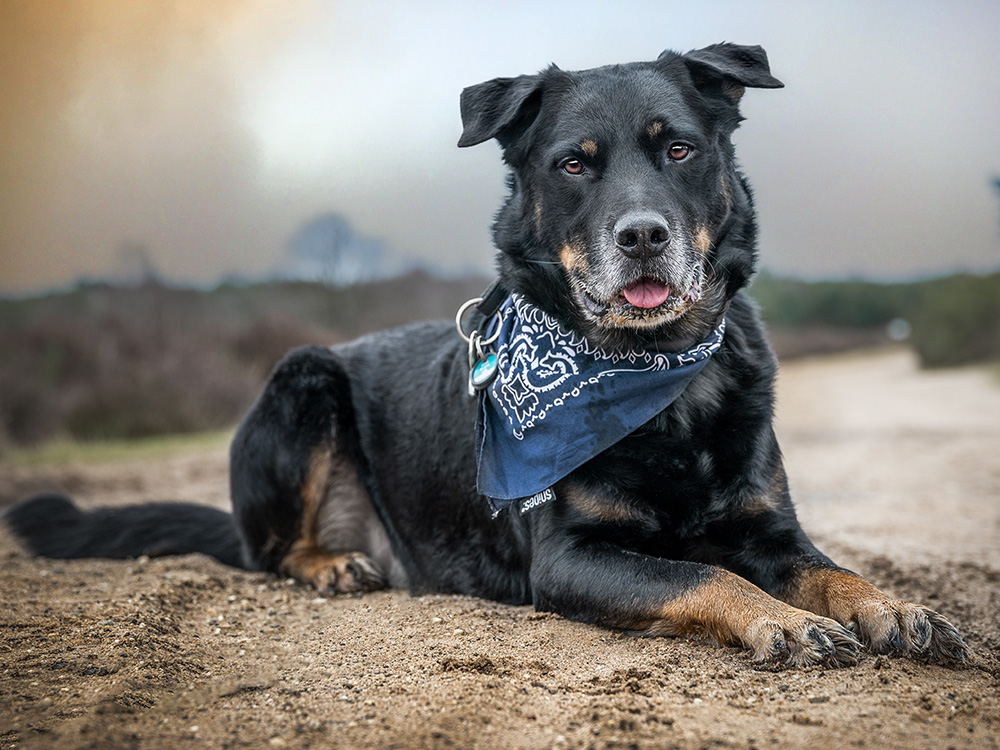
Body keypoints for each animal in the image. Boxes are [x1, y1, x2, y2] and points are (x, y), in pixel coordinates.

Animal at [7, 44, 968, 668]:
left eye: (680, 149)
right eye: (574, 165)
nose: (642, 236)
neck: (653, 375)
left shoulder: (770, 529)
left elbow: (833, 571)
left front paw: (892, 607)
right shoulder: (571, 557)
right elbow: (697, 574)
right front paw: (779, 620)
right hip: (301, 379)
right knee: (272, 551)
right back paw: (331, 563)